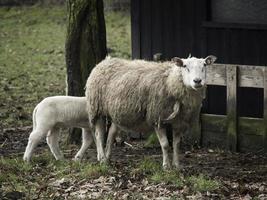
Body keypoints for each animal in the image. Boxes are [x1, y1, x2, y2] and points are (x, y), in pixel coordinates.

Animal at [86, 55, 218, 169]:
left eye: (204, 65)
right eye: (185, 66)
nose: (197, 81)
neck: (170, 82)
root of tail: (104, 62)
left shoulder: (178, 121)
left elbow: (176, 144)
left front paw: (176, 165)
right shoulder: (157, 117)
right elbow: (165, 144)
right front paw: (166, 166)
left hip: (116, 112)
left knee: (111, 134)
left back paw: (108, 157)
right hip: (96, 108)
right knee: (98, 135)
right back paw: (102, 158)